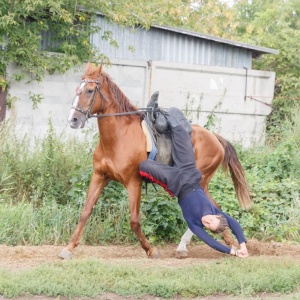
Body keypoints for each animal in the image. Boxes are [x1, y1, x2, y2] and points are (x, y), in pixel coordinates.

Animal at [58, 62, 251, 258]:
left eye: (89, 90)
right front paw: (69, 247)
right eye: (77, 89)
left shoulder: (133, 182)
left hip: (200, 180)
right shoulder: (100, 176)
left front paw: (150, 249)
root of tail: (215, 138)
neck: (118, 136)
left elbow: (134, 220)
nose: (73, 120)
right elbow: (85, 211)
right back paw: (224, 242)